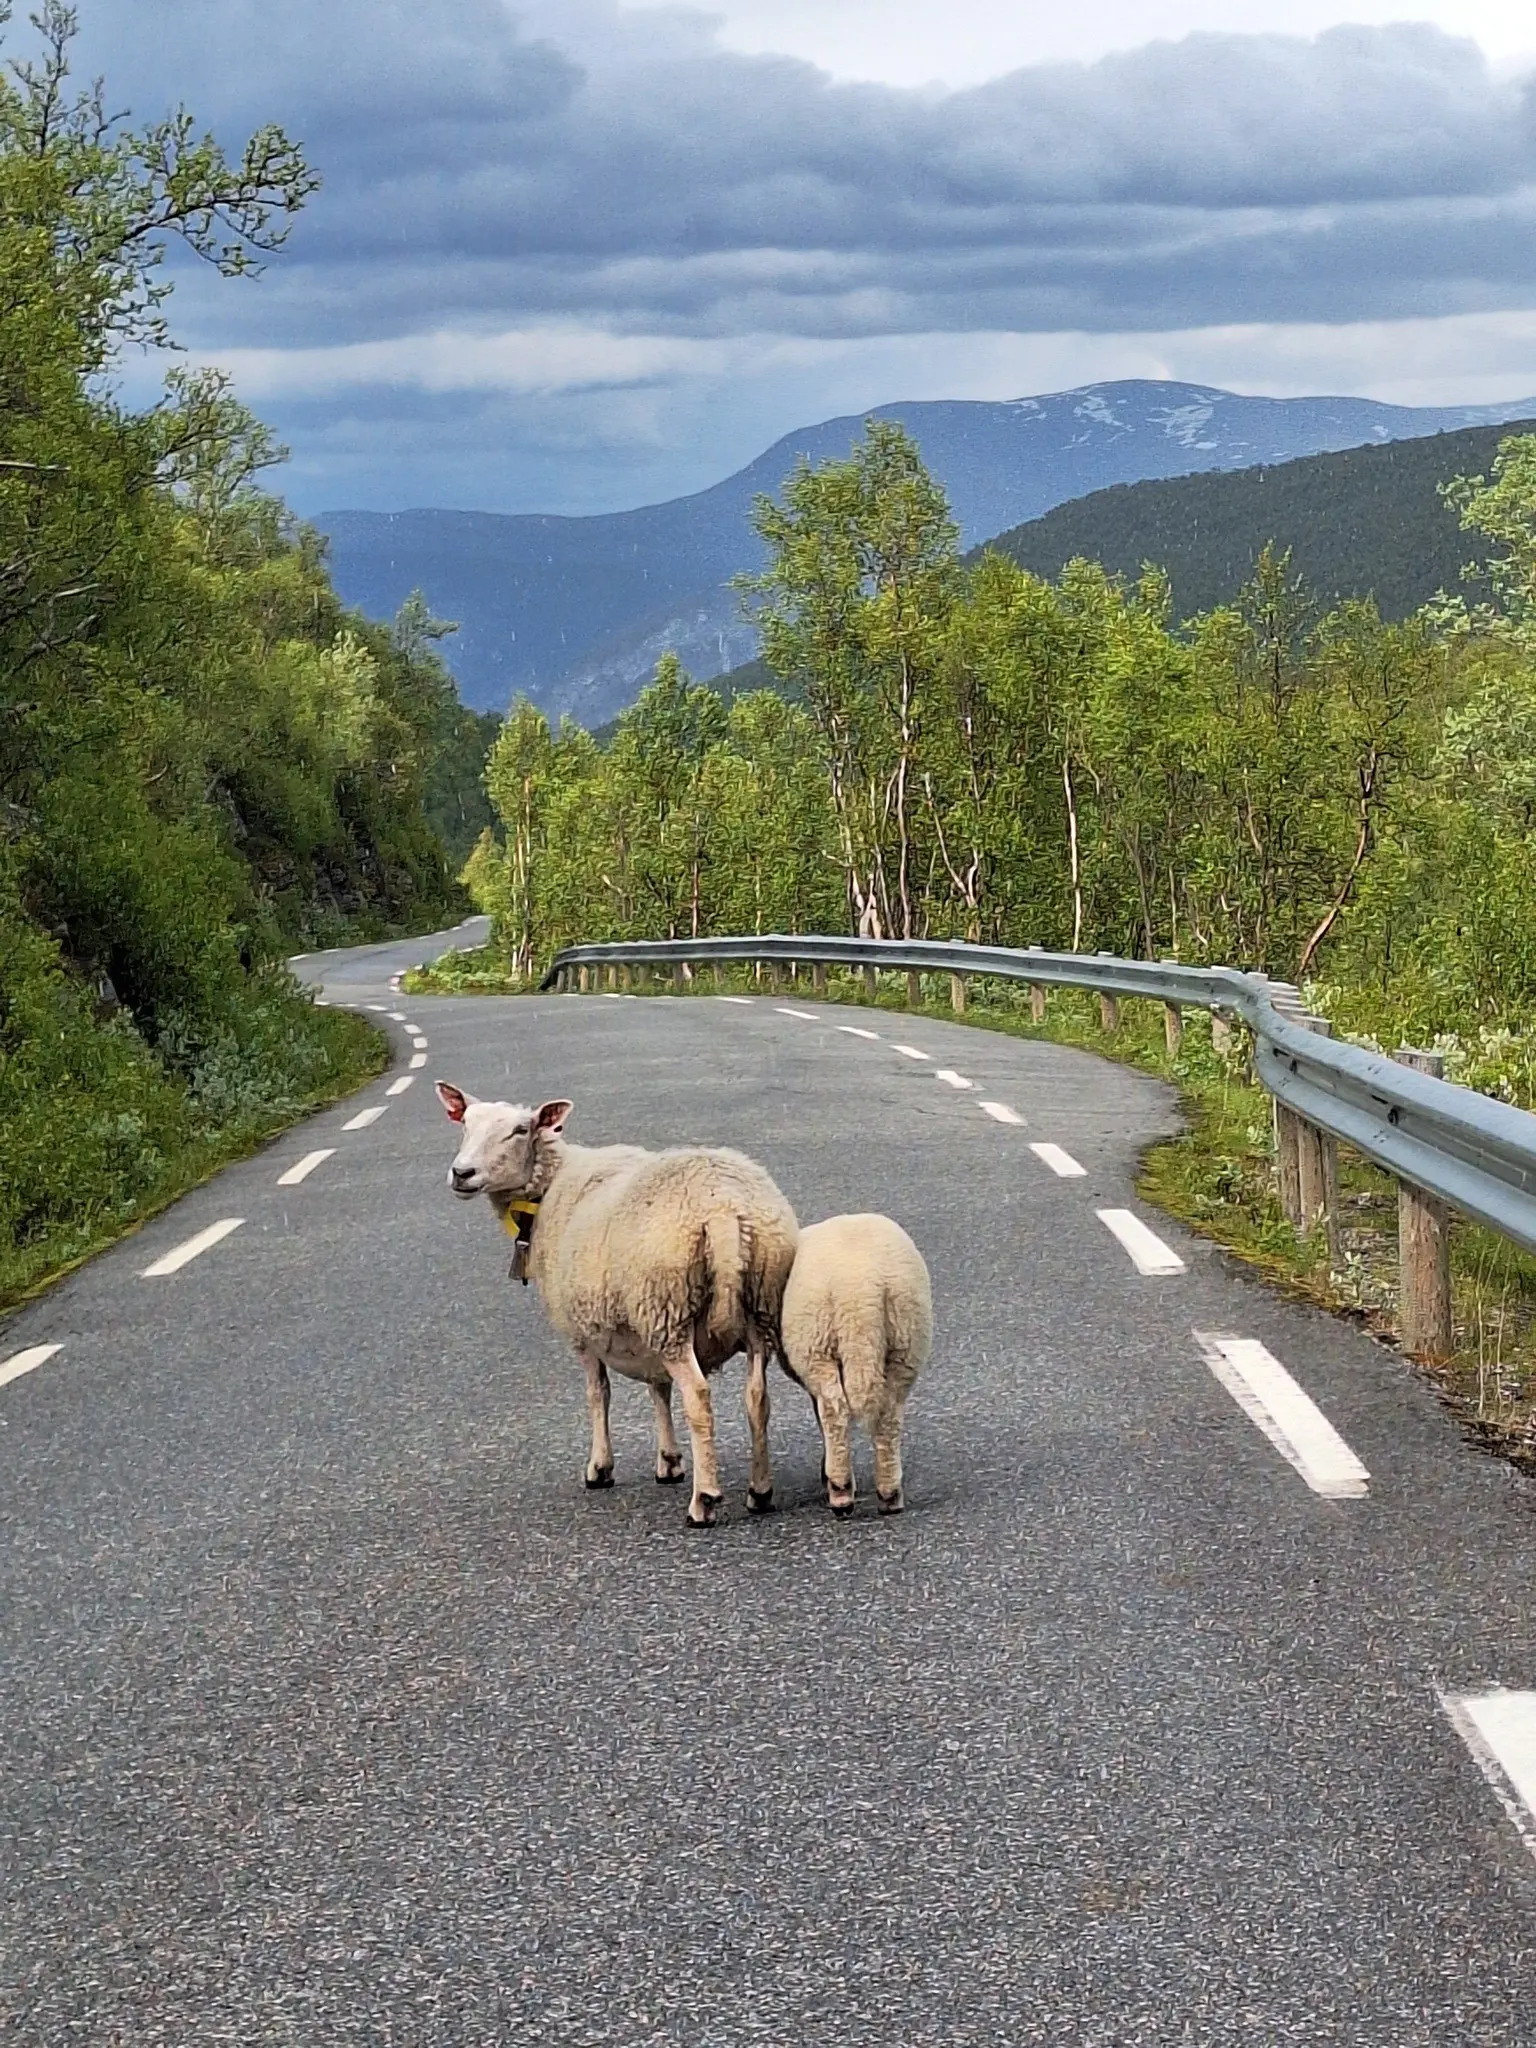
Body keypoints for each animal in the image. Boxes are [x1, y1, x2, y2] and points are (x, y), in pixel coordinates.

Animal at [436, 1084, 797, 1527]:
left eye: (520, 1130)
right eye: (465, 1124)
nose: (462, 1173)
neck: (549, 1188)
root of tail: (724, 1211)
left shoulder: (581, 1332)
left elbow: (599, 1393)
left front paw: (600, 1467)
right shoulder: (643, 1327)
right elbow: (658, 1389)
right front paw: (669, 1461)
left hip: (668, 1305)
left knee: (697, 1395)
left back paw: (703, 1501)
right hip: (751, 1305)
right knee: (757, 1398)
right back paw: (759, 1491)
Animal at [779, 1213, 933, 1517]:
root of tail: (860, 1293)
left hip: (818, 1345)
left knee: (834, 1411)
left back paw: (840, 1491)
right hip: (905, 1341)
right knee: (888, 1415)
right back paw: (889, 1495)